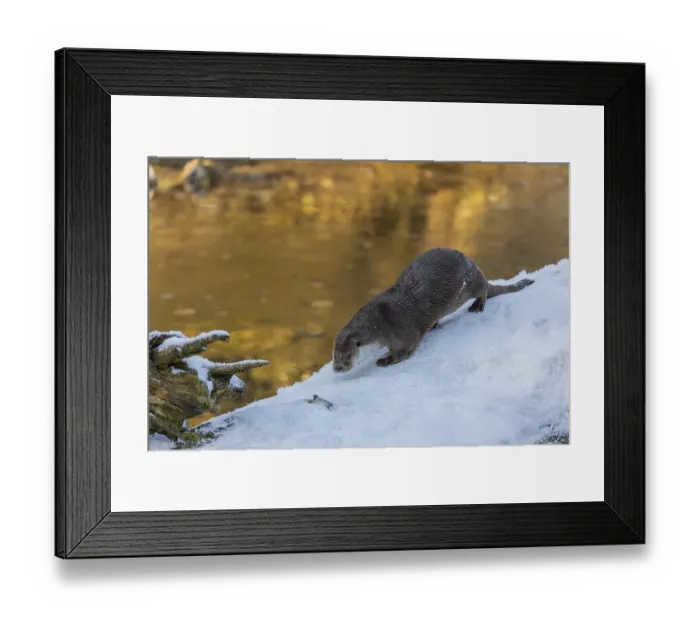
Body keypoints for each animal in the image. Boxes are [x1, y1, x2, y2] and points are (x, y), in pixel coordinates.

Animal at [332, 248, 534, 372]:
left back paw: (478, 305)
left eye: (347, 355)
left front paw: (385, 360)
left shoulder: (403, 332)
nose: (337, 368)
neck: (382, 323)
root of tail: (473, 265)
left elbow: (405, 351)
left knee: (483, 288)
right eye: (334, 355)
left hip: (471, 284)